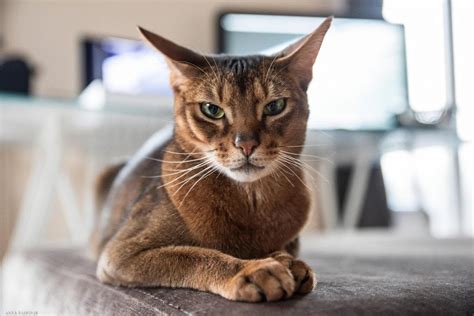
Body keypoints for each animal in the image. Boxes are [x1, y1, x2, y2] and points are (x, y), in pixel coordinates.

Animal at [90, 16, 332, 302]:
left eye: (274, 107)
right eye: (211, 110)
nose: (246, 144)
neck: (251, 204)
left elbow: (286, 249)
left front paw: (287, 260)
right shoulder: (120, 253)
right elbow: (191, 255)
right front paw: (252, 270)